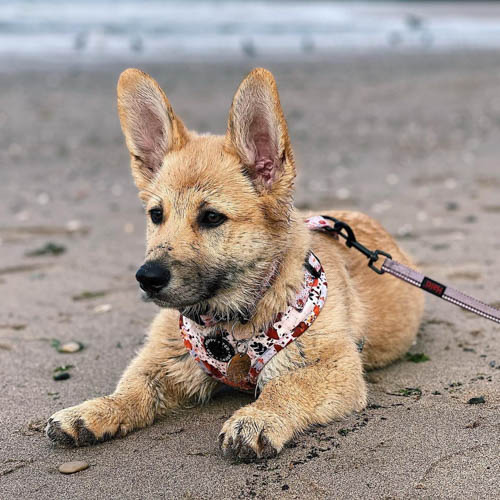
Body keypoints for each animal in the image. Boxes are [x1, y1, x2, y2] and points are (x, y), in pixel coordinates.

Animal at [45, 68, 424, 458]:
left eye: (212, 217)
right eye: (156, 215)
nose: (147, 278)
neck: (228, 322)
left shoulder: (335, 368)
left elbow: (286, 386)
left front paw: (259, 417)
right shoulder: (166, 360)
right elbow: (133, 388)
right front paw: (96, 409)